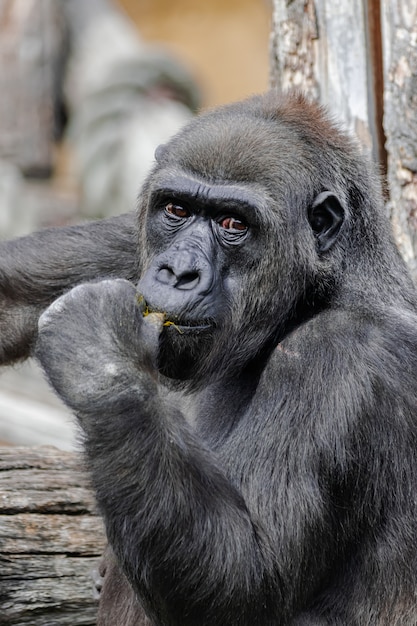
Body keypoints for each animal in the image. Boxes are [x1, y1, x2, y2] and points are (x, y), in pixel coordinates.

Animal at [0, 90, 416, 620]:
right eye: (176, 210)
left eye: (232, 223)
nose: (178, 271)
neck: (321, 290)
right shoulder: (136, 239)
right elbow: (9, 297)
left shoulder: (343, 353)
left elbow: (246, 583)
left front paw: (99, 358)